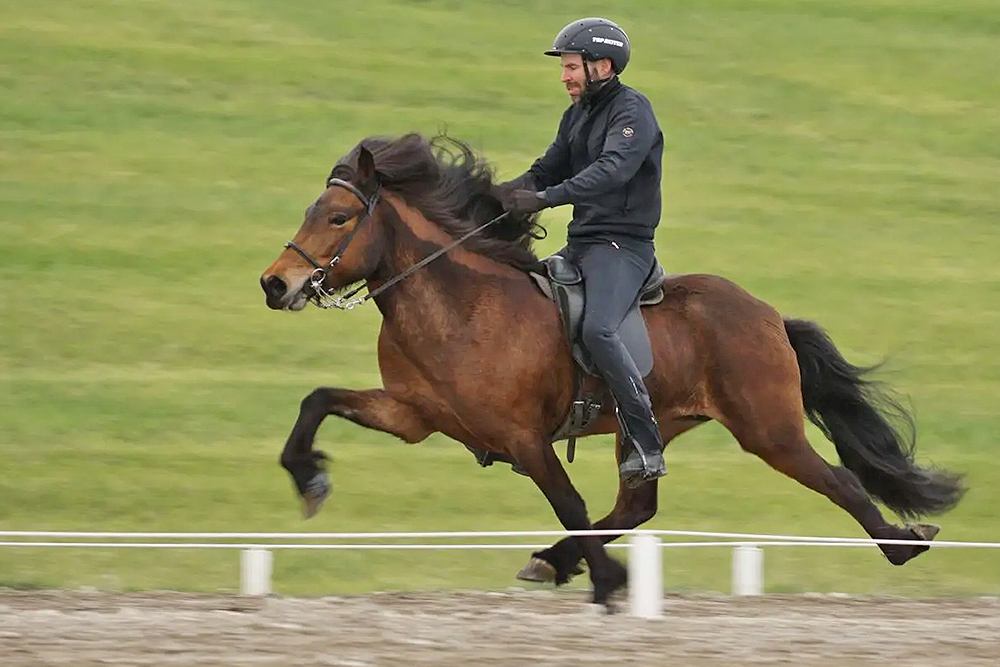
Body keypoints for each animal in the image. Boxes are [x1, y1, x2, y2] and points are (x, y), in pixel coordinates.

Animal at [258, 133, 960, 608]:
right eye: (311, 212)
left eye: (339, 218)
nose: (275, 284)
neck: (456, 306)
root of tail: (767, 315)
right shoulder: (412, 415)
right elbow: (316, 400)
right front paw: (309, 479)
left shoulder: (523, 437)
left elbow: (567, 501)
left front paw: (607, 584)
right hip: (646, 427)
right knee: (635, 504)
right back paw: (552, 562)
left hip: (769, 430)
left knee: (839, 480)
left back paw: (903, 544)